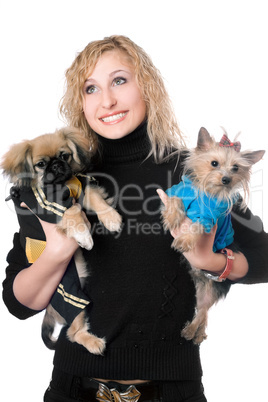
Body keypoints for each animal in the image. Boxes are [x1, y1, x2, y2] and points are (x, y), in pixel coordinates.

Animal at [1, 127, 121, 354]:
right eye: (40, 164)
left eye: (64, 156)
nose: (56, 165)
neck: (60, 186)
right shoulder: (51, 209)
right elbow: (72, 212)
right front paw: (83, 235)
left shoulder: (82, 189)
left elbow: (97, 200)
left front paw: (111, 218)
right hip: (72, 299)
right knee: (73, 333)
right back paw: (93, 343)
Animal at [158, 128, 264, 342]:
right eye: (214, 163)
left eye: (236, 168)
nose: (226, 179)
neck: (205, 191)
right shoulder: (175, 192)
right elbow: (175, 200)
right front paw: (173, 216)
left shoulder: (211, 216)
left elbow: (198, 225)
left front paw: (186, 239)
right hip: (200, 286)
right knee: (203, 310)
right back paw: (196, 332)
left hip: (211, 287)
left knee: (203, 311)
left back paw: (192, 331)